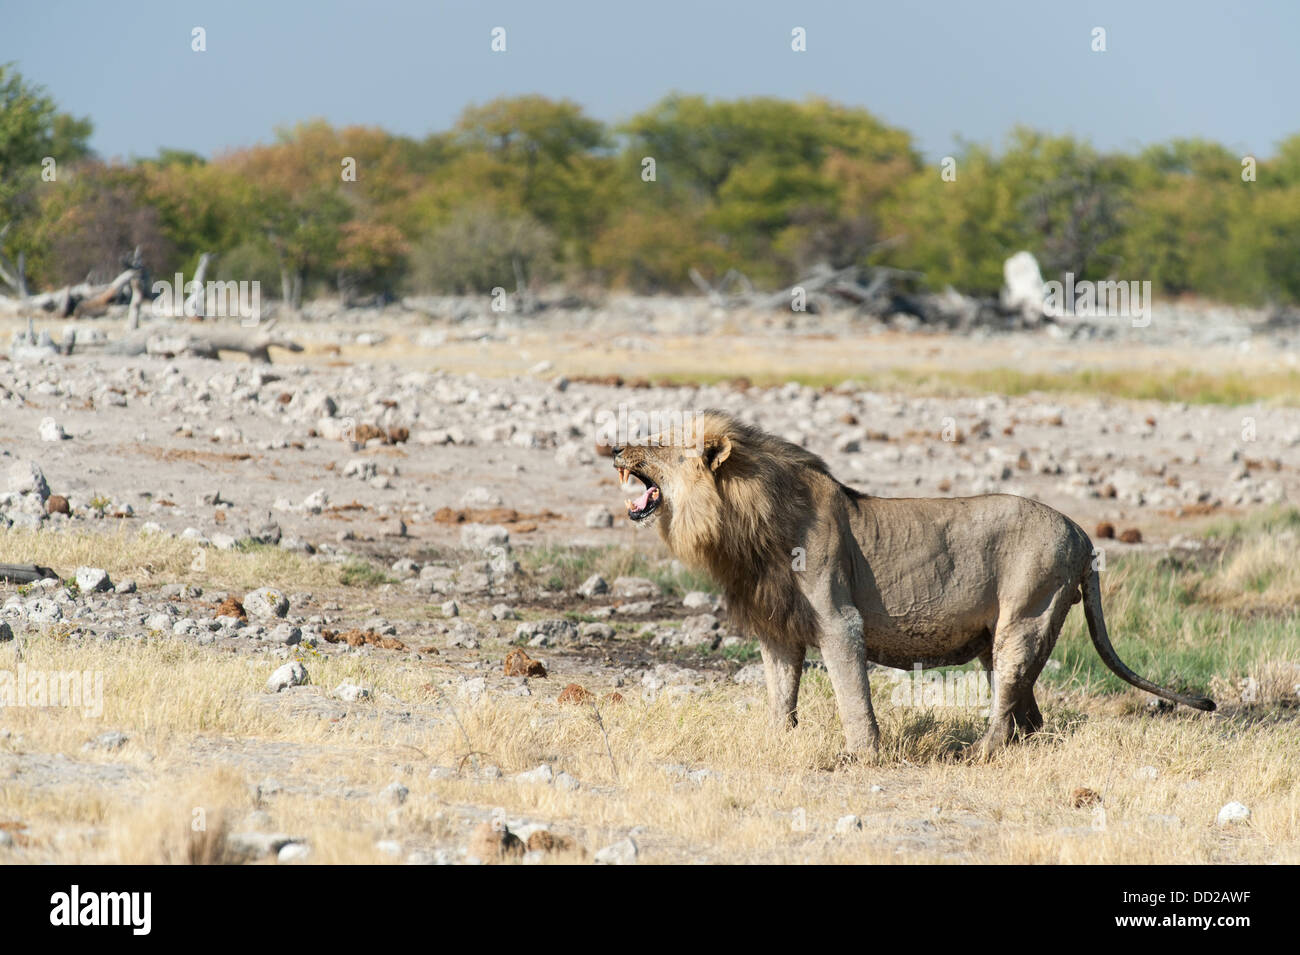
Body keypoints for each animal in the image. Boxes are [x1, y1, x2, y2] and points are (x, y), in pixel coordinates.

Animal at [613, 410, 1211, 764]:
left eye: (658, 446)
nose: (616, 449)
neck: (745, 522)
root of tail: (1084, 535)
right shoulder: (778, 630)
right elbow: (781, 697)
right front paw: (776, 746)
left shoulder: (839, 620)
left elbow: (852, 697)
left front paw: (862, 758)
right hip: (1006, 636)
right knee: (1028, 714)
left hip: (1027, 618)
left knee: (1006, 707)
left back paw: (977, 756)